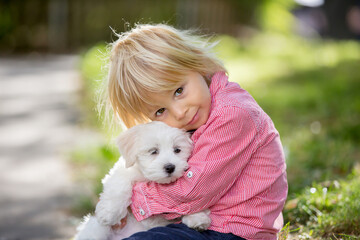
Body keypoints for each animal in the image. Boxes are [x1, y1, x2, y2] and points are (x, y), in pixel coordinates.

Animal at [75, 122, 211, 240]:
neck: (150, 178)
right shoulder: (122, 171)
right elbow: (120, 186)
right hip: (96, 229)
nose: (170, 167)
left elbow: (186, 200)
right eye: (154, 151)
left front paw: (198, 218)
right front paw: (109, 213)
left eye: (177, 150)